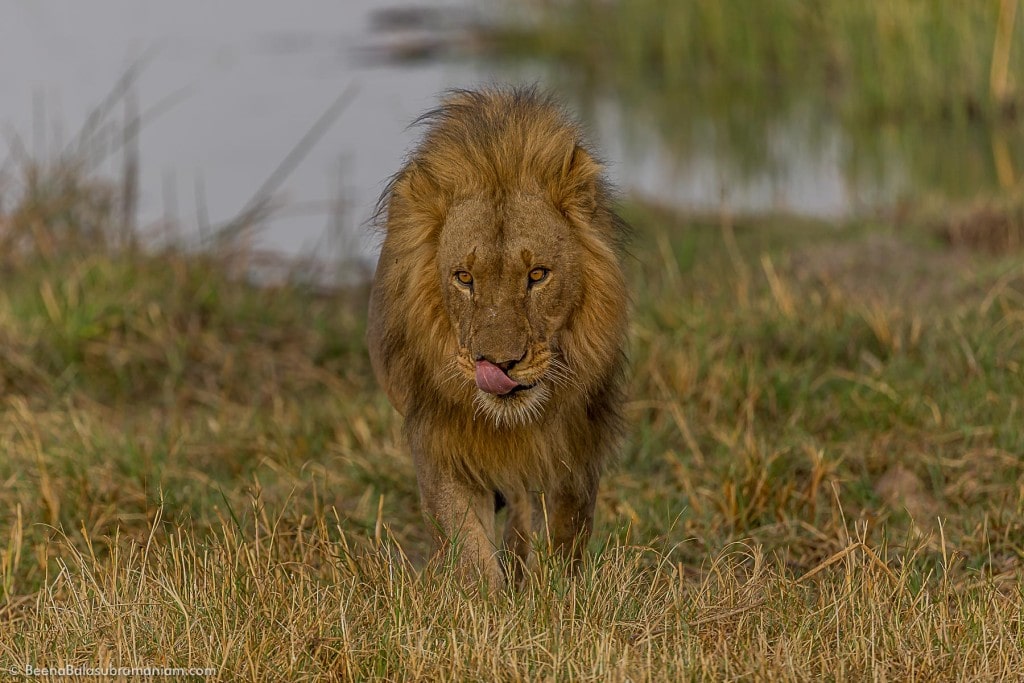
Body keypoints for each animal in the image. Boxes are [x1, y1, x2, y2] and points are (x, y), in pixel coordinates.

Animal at [364, 87, 626, 589]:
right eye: (464, 278)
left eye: (537, 275)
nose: (499, 365)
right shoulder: (439, 438)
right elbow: (467, 545)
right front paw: (485, 598)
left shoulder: (577, 445)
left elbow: (566, 530)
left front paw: (553, 591)